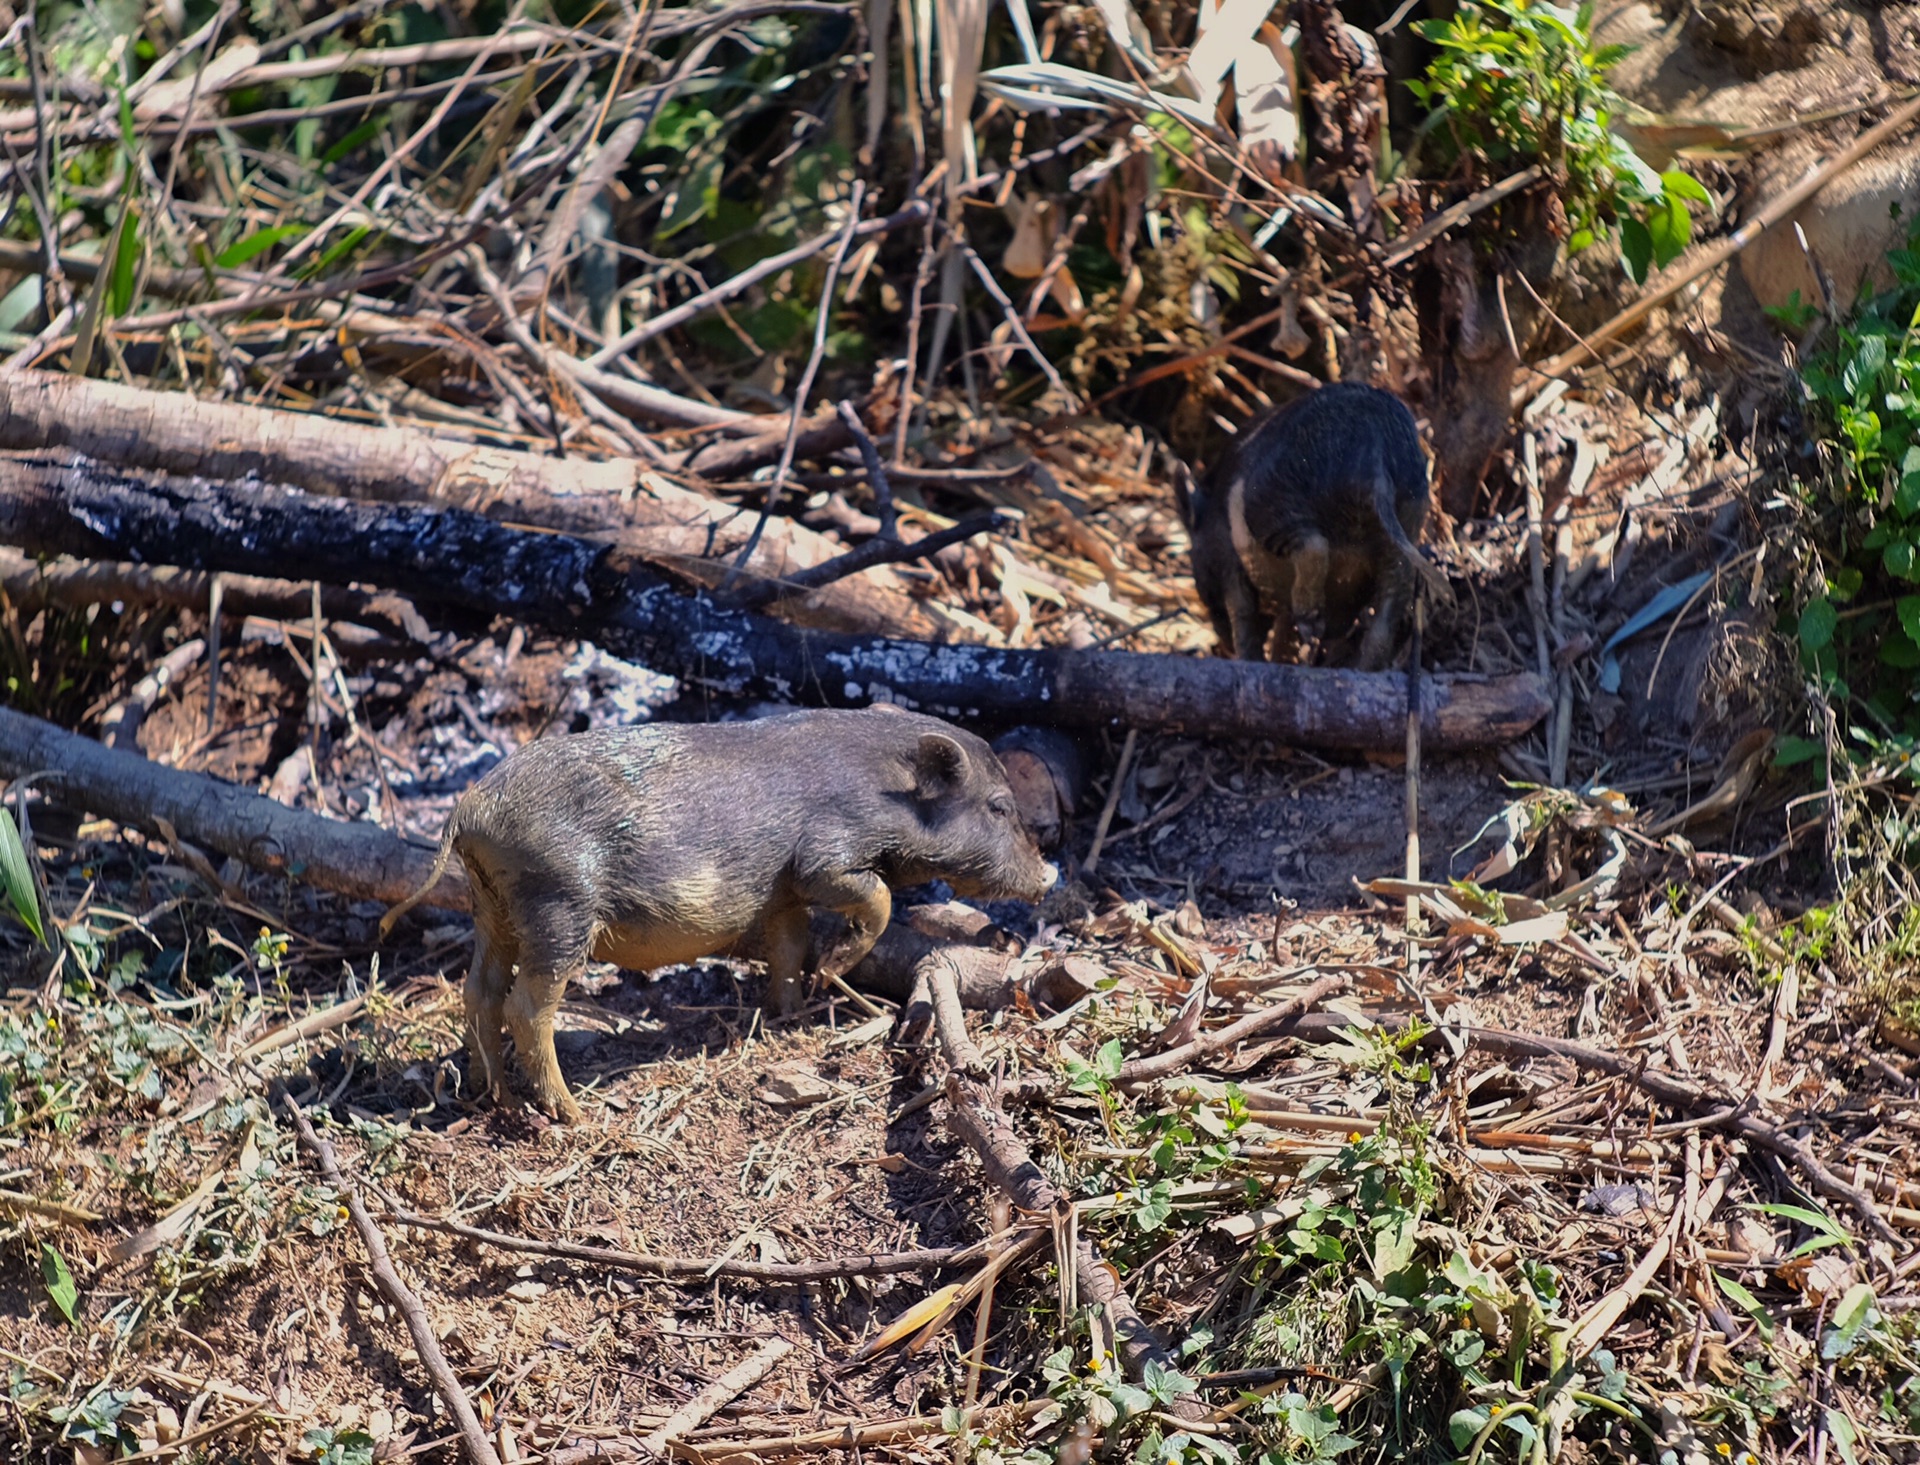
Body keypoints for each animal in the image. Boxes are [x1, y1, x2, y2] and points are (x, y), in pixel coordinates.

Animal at [380, 710, 1059, 1121]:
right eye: (1000, 807)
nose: (1048, 874)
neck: (886, 792)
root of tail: (471, 808)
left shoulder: (780, 894)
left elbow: (788, 948)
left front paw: (791, 1015)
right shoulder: (822, 857)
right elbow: (877, 899)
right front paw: (832, 969)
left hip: (491, 906)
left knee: (479, 991)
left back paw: (489, 1095)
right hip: (559, 905)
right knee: (527, 1005)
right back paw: (574, 1116)